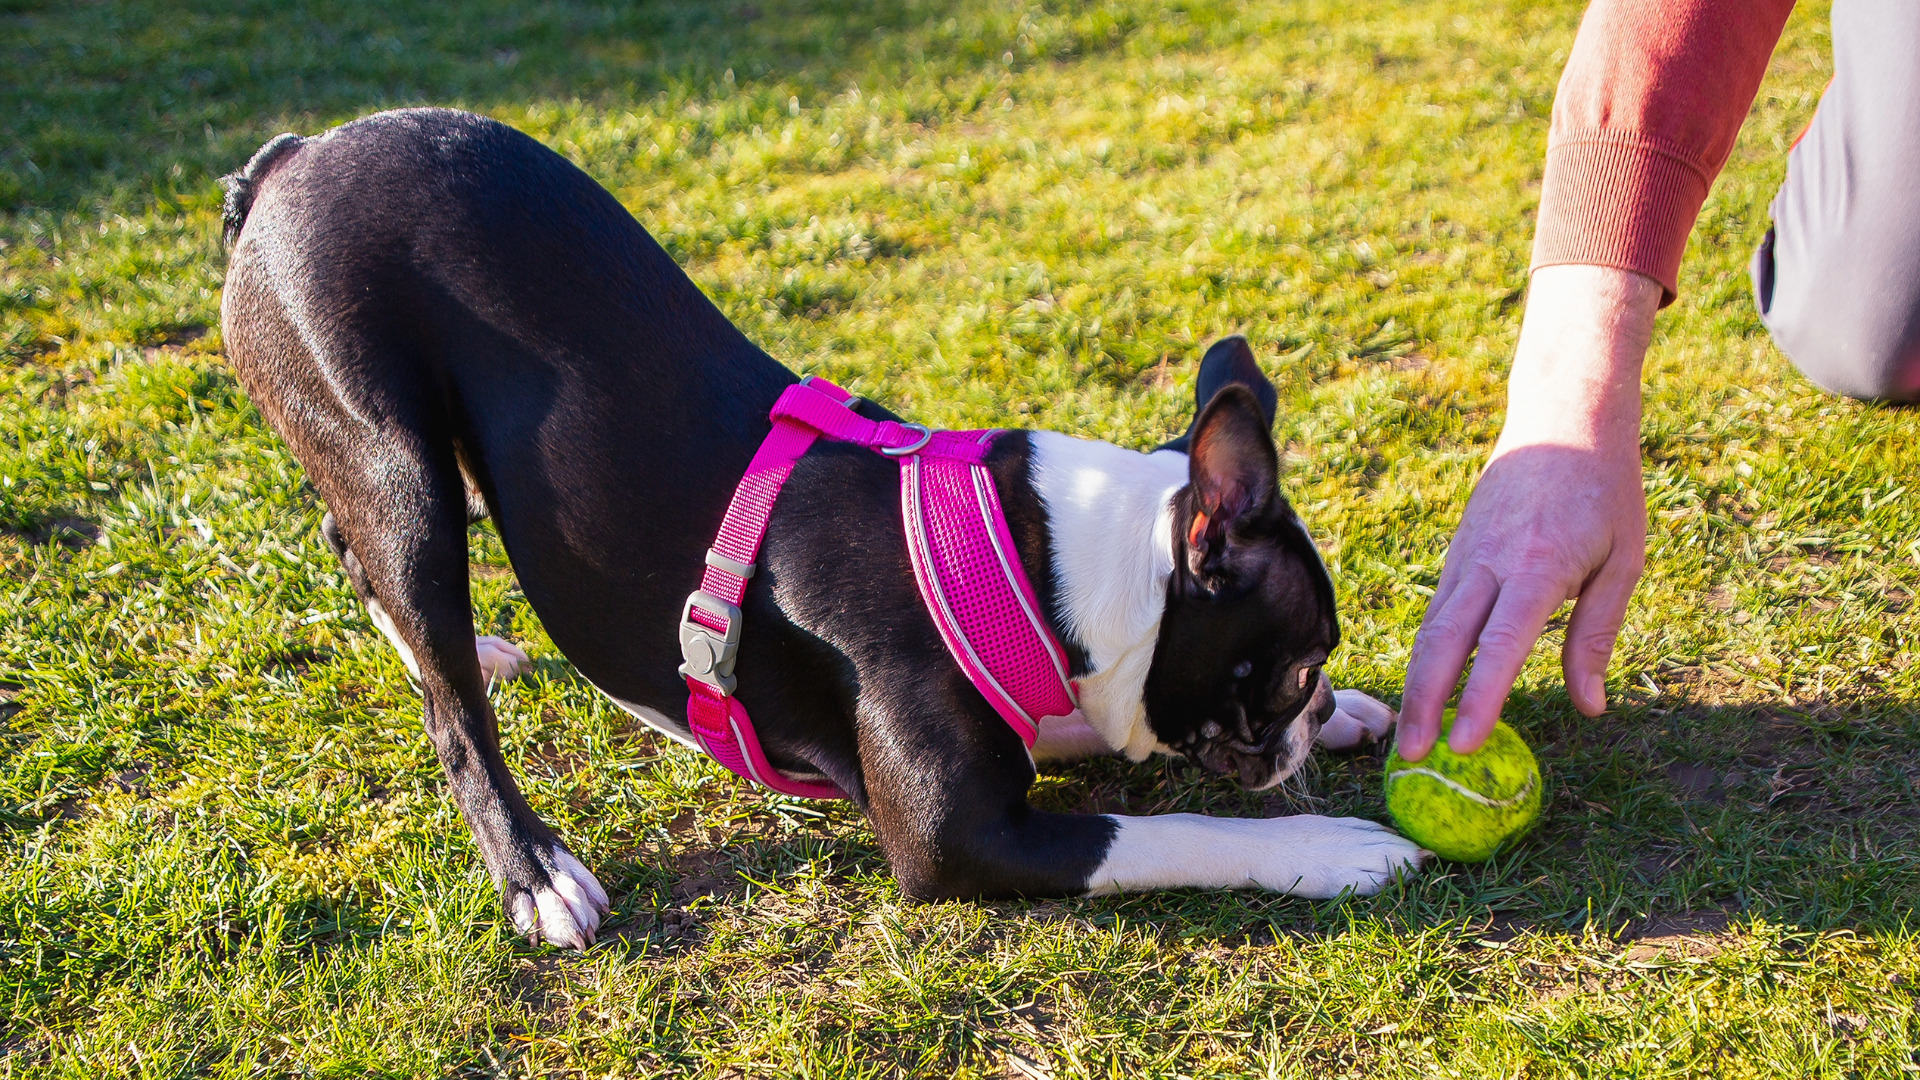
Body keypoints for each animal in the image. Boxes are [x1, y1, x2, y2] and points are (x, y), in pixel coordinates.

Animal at [220, 107, 1428, 941]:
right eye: (1295, 663)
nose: (1317, 708)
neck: (1027, 567)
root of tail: (288, 159)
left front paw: (1364, 716)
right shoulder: (955, 840)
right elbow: (1174, 829)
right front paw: (1329, 847)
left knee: (360, 563)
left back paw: (477, 648)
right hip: (398, 464)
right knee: (447, 704)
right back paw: (535, 869)